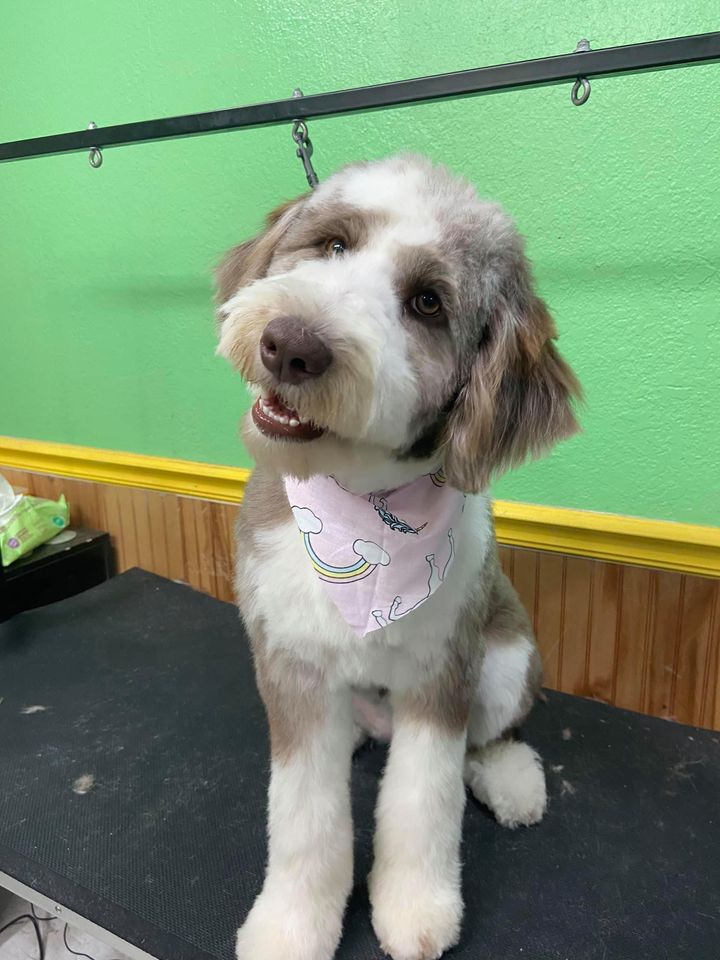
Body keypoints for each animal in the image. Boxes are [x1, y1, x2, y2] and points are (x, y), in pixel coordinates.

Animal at [216, 154, 580, 960]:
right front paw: (292, 926)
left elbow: (424, 802)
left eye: (426, 303)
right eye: (333, 244)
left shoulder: (442, 669)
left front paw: (415, 909)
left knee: (491, 737)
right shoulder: (288, 664)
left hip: (506, 660)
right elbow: (303, 814)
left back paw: (511, 780)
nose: (292, 344)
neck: (359, 503)